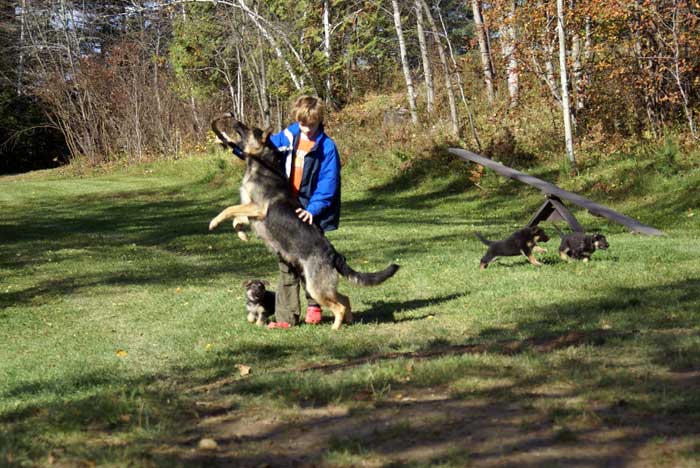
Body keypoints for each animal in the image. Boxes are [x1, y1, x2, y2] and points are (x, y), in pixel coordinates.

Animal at [206, 114, 400, 330]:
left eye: (250, 129)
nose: (232, 118)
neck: (262, 164)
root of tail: (333, 254)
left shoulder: (257, 208)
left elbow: (228, 209)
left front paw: (214, 222)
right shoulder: (250, 208)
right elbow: (236, 217)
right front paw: (241, 233)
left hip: (316, 288)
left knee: (339, 306)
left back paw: (335, 328)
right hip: (321, 287)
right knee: (345, 298)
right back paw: (349, 321)